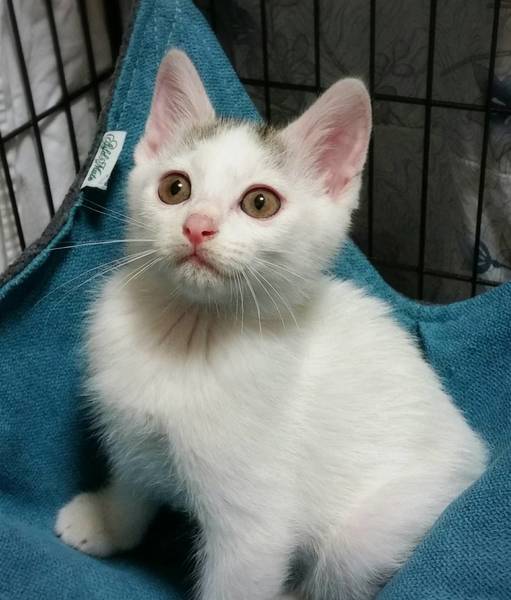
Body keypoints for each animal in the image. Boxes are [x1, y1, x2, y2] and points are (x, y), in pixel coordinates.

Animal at [55, 49, 488, 600]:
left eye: (260, 203)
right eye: (175, 188)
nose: (197, 226)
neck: (190, 334)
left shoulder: (254, 523)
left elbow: (239, 578)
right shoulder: (133, 432)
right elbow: (133, 483)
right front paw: (108, 522)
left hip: (368, 535)